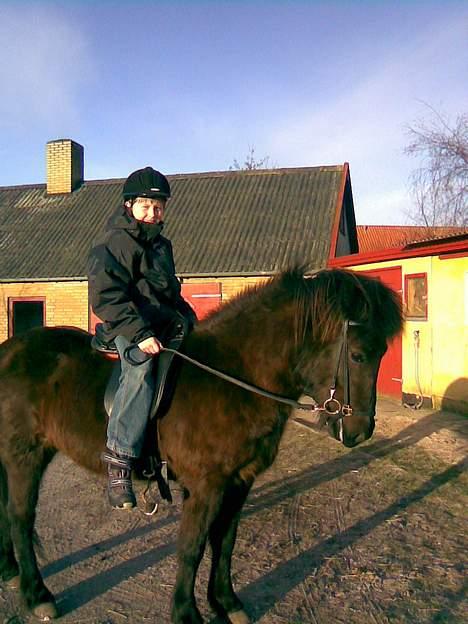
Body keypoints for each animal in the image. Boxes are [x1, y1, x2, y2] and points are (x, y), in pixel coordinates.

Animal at [0, 270, 402, 624]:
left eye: (383, 352)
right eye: (358, 355)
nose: (360, 431)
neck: (235, 377)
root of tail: (10, 352)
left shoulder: (240, 482)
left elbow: (224, 543)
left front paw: (226, 602)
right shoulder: (206, 485)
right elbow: (192, 547)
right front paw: (186, 612)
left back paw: (9, 570)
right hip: (25, 456)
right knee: (20, 517)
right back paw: (37, 595)